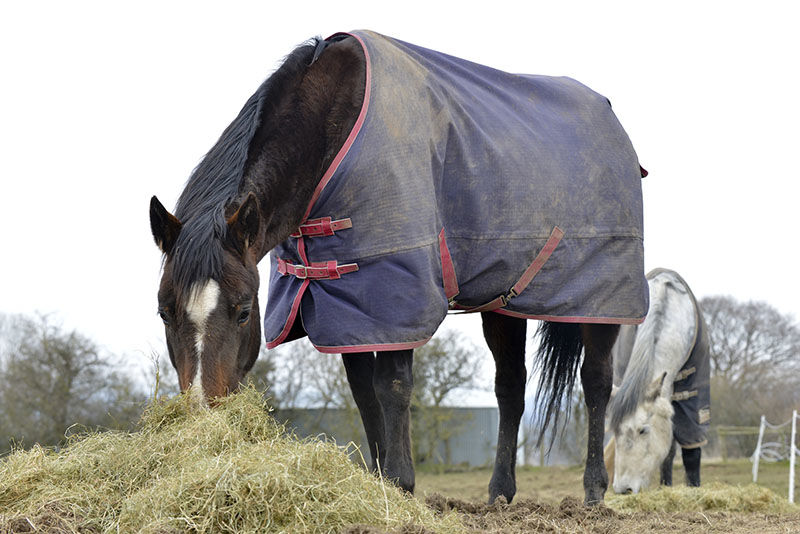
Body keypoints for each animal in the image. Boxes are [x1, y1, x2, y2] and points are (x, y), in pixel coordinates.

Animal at [148, 30, 648, 506]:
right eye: (164, 313)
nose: (201, 416)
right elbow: (364, 392)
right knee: (510, 386)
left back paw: (594, 491)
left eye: (243, 312)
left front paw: (401, 483)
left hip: (601, 301)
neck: (330, 130)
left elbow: (392, 385)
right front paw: (380, 481)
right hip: (503, 303)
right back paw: (500, 493)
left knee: (597, 383)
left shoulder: (394, 298)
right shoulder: (343, 308)